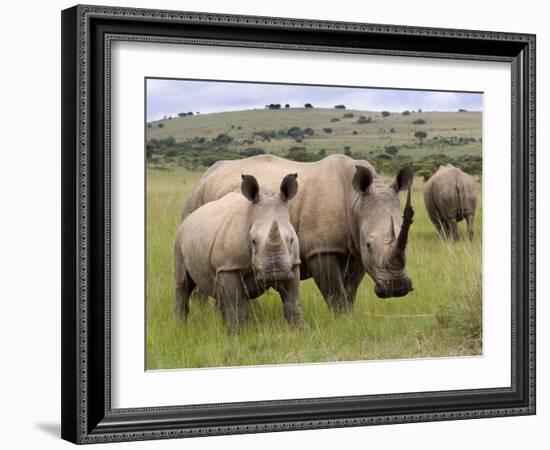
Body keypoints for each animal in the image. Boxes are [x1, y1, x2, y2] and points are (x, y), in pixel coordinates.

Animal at [174, 174, 306, 332]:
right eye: (253, 241)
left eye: (291, 240)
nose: (276, 273)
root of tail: (191, 215)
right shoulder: (229, 266)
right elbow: (235, 301)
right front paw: (237, 334)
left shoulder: (292, 264)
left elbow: (292, 300)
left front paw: (300, 330)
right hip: (180, 237)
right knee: (183, 284)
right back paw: (179, 326)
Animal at [183, 153, 416, 312]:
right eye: (369, 243)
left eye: (407, 242)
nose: (397, 289)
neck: (356, 200)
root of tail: (205, 175)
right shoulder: (322, 249)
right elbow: (335, 293)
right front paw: (341, 320)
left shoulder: (356, 247)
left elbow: (350, 291)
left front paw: (349, 317)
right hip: (195, 201)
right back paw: (203, 314)